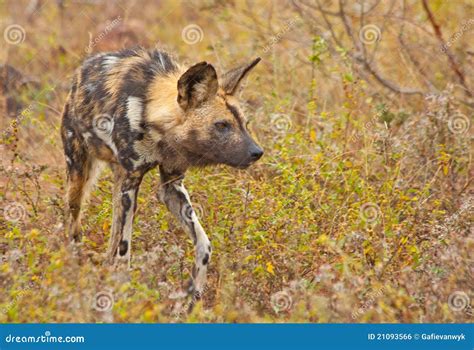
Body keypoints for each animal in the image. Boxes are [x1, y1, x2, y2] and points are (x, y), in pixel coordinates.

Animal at [60, 46, 262, 298]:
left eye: (244, 124)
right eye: (221, 125)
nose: (257, 152)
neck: (153, 117)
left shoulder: (171, 185)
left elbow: (204, 245)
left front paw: (193, 295)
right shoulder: (131, 182)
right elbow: (124, 251)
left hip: (117, 184)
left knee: (112, 240)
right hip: (79, 179)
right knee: (75, 228)